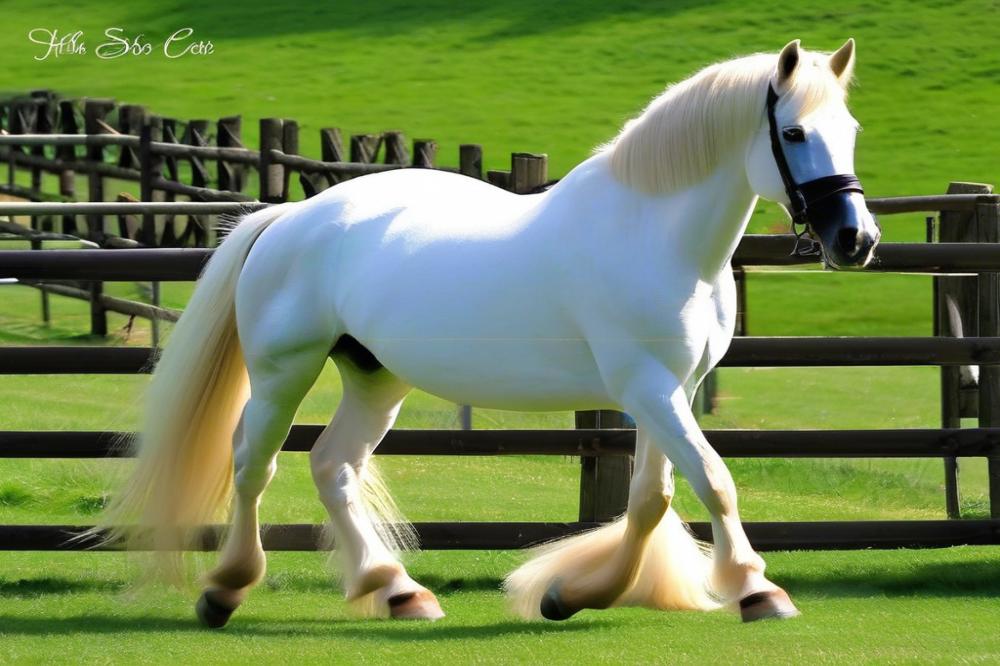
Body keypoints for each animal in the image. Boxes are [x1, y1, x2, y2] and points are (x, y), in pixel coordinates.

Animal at [101, 40, 876, 624]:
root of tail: (290, 216)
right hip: (282, 372)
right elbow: (713, 482)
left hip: (375, 378)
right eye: (795, 133)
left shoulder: (669, 390)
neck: (654, 236)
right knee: (252, 465)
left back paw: (396, 589)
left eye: (852, 133)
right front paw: (756, 588)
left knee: (333, 466)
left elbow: (651, 501)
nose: (857, 240)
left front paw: (575, 593)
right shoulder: (649, 389)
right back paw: (226, 588)